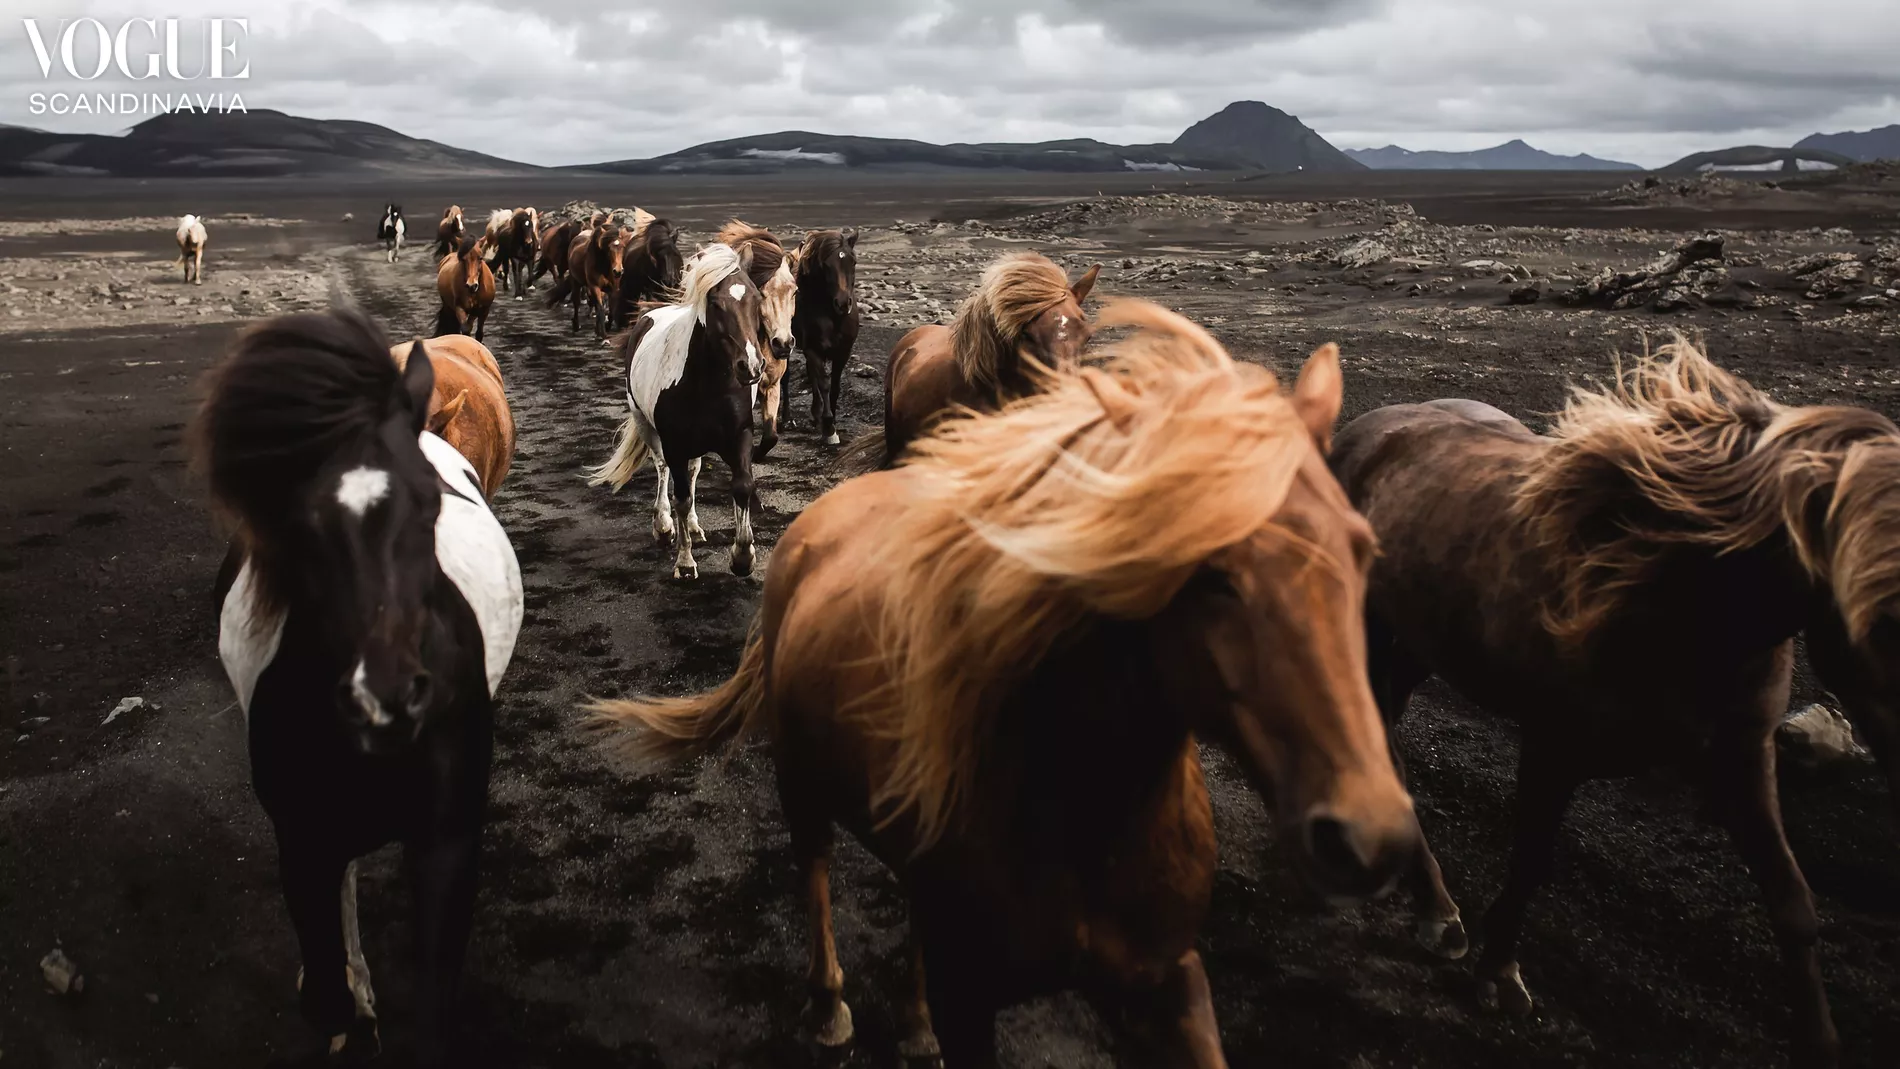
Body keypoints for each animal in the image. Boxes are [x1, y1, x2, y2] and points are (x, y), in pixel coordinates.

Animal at [587, 242, 767, 580]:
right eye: (715, 303)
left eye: (756, 299)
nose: (751, 366)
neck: (707, 384)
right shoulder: (675, 444)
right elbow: (680, 496)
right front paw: (684, 562)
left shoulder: (740, 436)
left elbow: (742, 486)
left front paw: (743, 557)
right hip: (645, 424)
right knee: (662, 469)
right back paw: (664, 525)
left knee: (694, 472)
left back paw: (694, 527)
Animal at [590, 300, 1419, 1066]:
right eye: (1207, 571)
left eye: (1363, 549)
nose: (1370, 832)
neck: (1086, 810)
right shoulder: (974, 995)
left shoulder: (1171, 979)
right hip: (802, 787)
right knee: (816, 875)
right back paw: (830, 1008)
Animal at [716, 220, 798, 459]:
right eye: (761, 293)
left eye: (794, 292)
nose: (783, 343)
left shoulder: (771, 385)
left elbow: (771, 437)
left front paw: (756, 452)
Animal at [789, 228, 862, 446]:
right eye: (826, 265)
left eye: (853, 261)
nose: (843, 304)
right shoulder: (813, 349)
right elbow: (824, 383)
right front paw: (829, 428)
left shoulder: (843, 351)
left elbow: (835, 386)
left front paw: (832, 419)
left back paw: (816, 414)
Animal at [1329, 336, 1900, 1068]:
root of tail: (1367, 430)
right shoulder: (1553, 746)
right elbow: (1531, 862)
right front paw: (1499, 974)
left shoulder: (1744, 757)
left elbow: (1793, 903)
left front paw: (1820, 1040)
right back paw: (1437, 911)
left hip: (1419, 640)